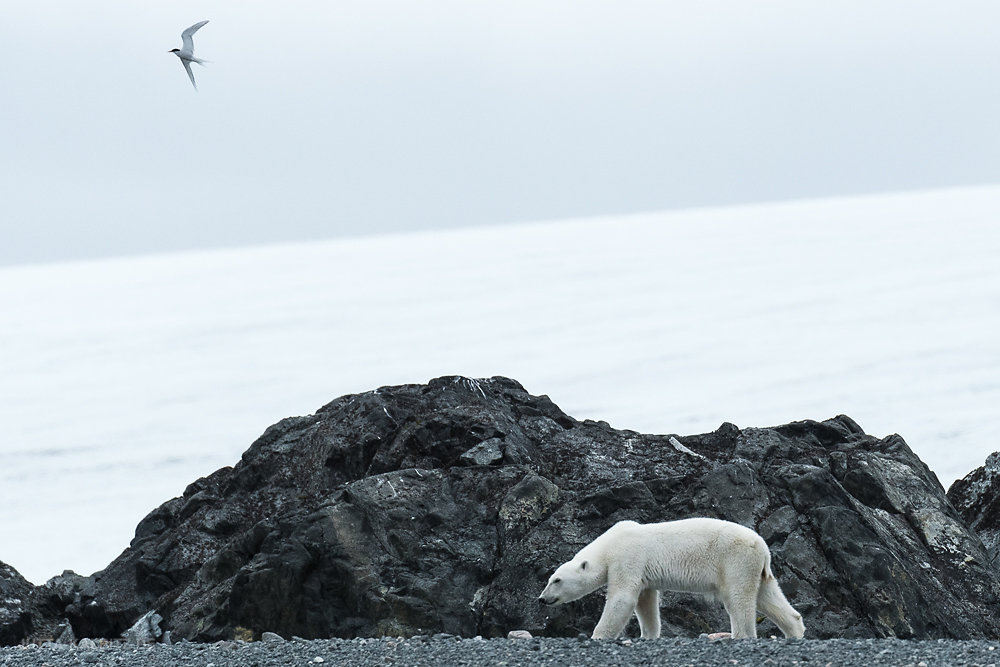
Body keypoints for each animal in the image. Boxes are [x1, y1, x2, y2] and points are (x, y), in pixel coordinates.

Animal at [540, 516, 804, 640]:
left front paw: (597, 636)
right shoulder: (642, 573)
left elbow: (622, 599)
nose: (542, 599)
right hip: (758, 569)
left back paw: (741, 635)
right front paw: (648, 635)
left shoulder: (627, 558)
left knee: (739, 598)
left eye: (556, 580)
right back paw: (795, 631)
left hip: (735, 560)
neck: (610, 543)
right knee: (768, 596)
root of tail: (763, 547)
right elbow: (645, 602)